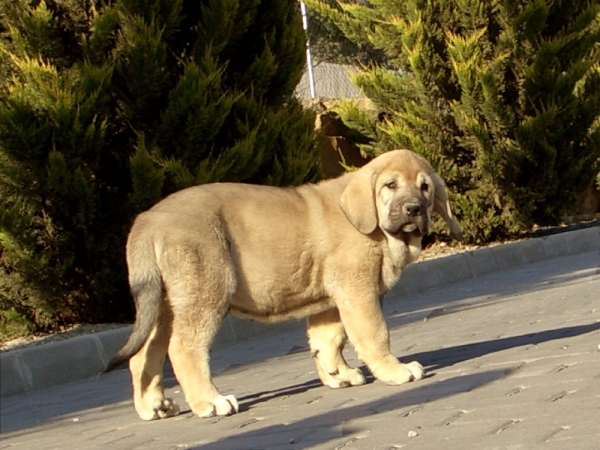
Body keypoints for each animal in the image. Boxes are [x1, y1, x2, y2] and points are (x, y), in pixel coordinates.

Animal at [103, 149, 462, 420]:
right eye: (390, 184)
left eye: (425, 188)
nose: (413, 209)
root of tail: (146, 221)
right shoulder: (357, 291)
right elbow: (375, 334)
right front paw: (393, 370)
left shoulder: (331, 299)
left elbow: (329, 341)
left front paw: (339, 375)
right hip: (205, 292)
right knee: (184, 348)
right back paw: (210, 401)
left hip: (163, 303)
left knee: (143, 355)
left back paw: (154, 406)